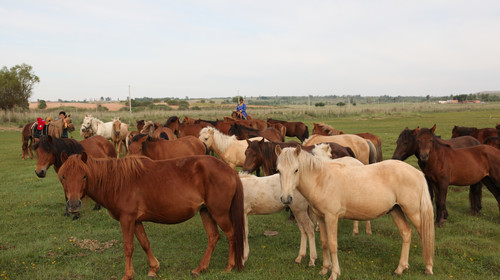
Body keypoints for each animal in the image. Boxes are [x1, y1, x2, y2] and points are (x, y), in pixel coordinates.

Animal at [56, 153, 244, 280]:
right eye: (63, 176)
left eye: (84, 176)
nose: (73, 205)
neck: (118, 182)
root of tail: (230, 170)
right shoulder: (136, 221)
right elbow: (144, 243)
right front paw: (154, 268)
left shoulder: (127, 219)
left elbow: (128, 247)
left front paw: (128, 275)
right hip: (206, 212)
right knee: (213, 237)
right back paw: (200, 268)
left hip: (219, 213)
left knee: (231, 235)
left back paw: (229, 267)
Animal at [276, 145, 436, 278]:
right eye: (278, 171)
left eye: (296, 169)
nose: (286, 198)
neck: (321, 180)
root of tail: (418, 173)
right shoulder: (321, 218)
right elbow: (324, 242)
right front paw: (324, 269)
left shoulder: (331, 217)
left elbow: (332, 244)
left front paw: (334, 273)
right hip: (396, 210)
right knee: (406, 233)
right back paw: (400, 268)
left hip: (414, 212)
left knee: (424, 235)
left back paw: (428, 268)